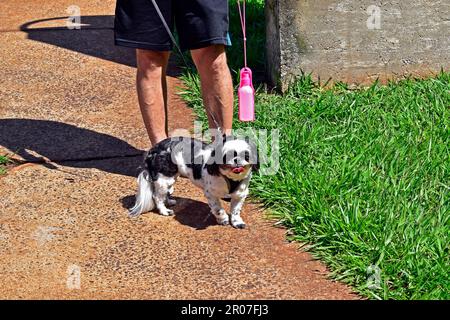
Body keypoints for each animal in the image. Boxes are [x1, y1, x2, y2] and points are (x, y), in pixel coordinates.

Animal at [128, 134, 258, 228]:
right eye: (227, 155)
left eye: (246, 155)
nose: (237, 160)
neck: (230, 178)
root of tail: (153, 150)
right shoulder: (210, 194)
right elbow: (218, 209)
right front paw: (223, 219)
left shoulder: (240, 194)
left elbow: (236, 210)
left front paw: (237, 222)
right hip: (164, 178)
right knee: (157, 196)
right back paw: (164, 211)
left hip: (171, 177)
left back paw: (168, 201)